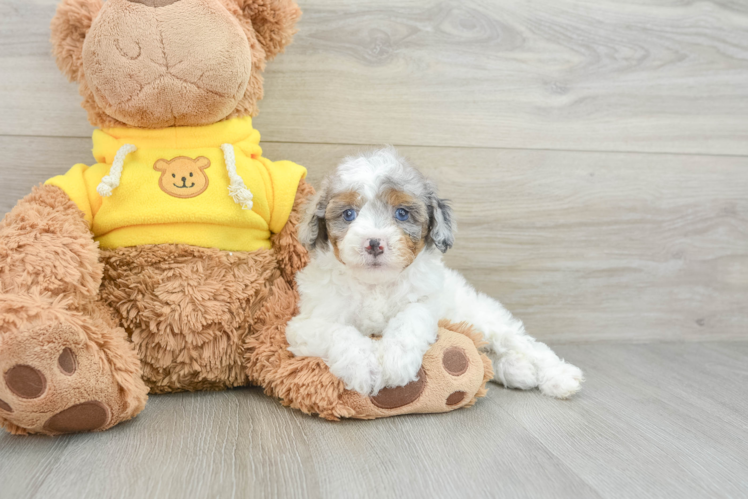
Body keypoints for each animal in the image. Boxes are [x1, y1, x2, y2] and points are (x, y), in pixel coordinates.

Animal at [286, 147, 584, 398]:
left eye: (402, 213)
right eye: (348, 214)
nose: (374, 243)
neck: (376, 285)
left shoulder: (426, 302)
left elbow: (410, 318)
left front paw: (395, 360)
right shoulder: (305, 323)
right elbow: (338, 332)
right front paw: (363, 365)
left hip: (482, 317)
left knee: (523, 343)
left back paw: (558, 376)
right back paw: (518, 370)